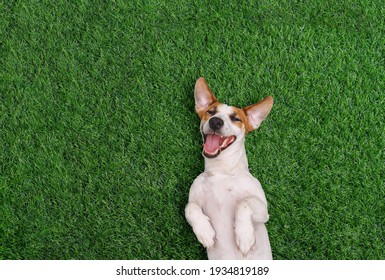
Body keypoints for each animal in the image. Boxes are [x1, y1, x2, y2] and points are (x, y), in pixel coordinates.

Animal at [184, 77, 272, 260]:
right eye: (211, 112)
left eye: (236, 118)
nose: (216, 121)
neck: (221, 171)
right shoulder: (195, 199)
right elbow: (189, 208)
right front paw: (205, 232)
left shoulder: (263, 211)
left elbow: (244, 204)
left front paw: (244, 236)